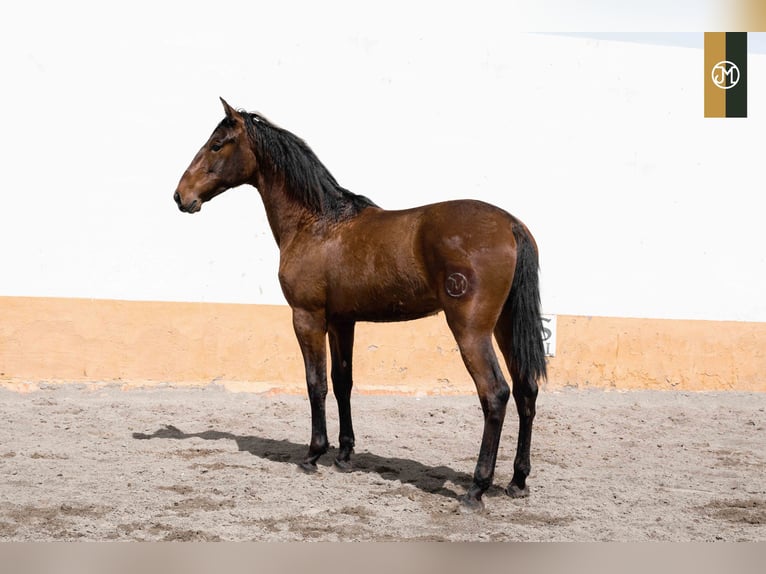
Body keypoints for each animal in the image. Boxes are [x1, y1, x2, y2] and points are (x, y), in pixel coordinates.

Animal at [174, 99, 544, 512]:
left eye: (217, 145)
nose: (181, 196)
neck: (317, 223)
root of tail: (510, 225)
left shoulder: (307, 318)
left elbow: (315, 383)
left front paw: (314, 454)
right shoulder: (342, 322)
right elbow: (343, 382)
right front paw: (344, 455)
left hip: (471, 331)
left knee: (495, 394)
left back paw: (476, 488)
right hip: (506, 326)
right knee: (526, 389)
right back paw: (517, 481)